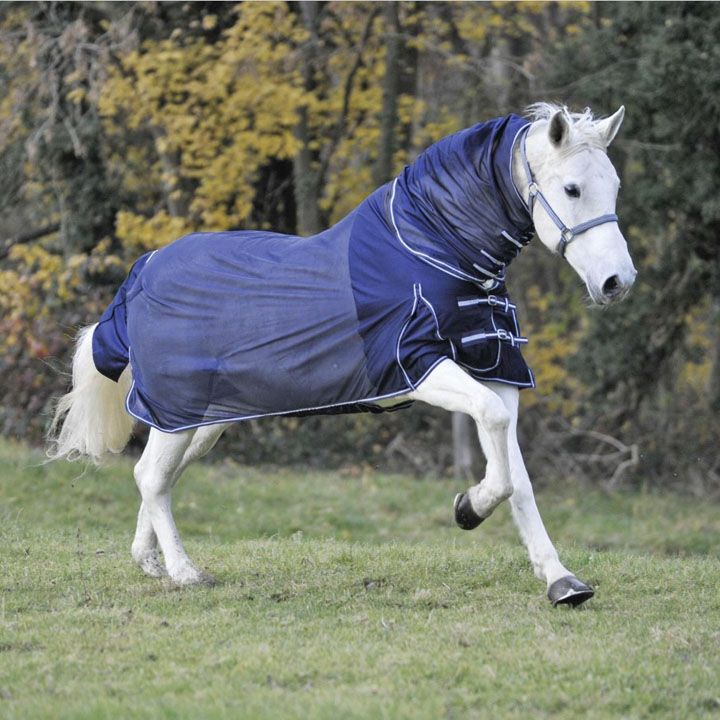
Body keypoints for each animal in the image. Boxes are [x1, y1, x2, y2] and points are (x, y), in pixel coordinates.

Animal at [48, 103, 636, 607]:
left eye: (613, 186)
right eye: (572, 188)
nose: (617, 282)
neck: (435, 253)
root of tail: (141, 275)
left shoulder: (497, 372)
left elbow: (519, 478)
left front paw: (562, 582)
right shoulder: (421, 366)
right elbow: (498, 456)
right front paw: (468, 509)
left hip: (201, 420)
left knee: (159, 476)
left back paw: (148, 561)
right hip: (176, 410)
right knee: (151, 476)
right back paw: (186, 572)